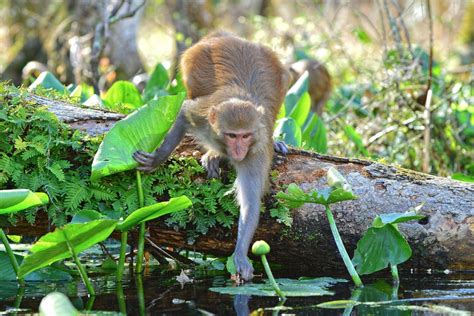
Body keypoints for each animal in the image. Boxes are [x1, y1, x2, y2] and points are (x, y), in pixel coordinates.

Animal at [133, 32, 288, 282]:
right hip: (195, 60)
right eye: (232, 135)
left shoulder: (256, 151)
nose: (238, 151)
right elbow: (184, 112)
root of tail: (229, 37)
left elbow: (251, 202)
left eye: (245, 136)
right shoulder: (203, 117)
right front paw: (158, 158)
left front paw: (240, 254)